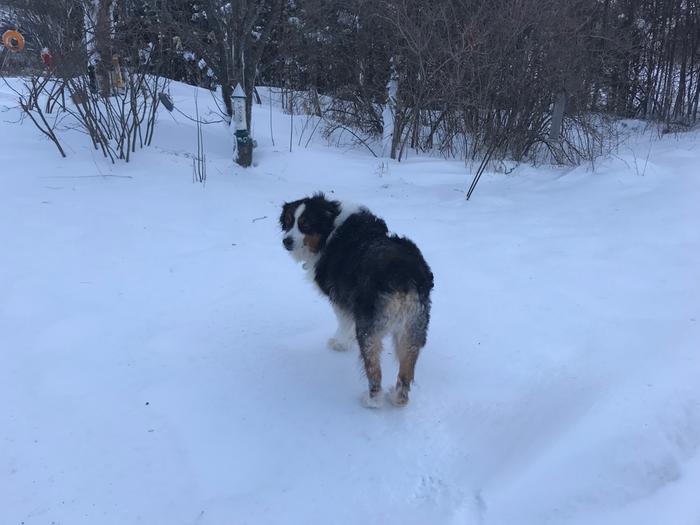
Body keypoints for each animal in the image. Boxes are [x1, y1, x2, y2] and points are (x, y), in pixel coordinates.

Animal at [278, 192, 432, 406]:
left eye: (305, 224)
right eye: (288, 222)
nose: (286, 241)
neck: (331, 228)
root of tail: (403, 276)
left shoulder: (340, 297)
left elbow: (343, 322)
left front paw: (340, 343)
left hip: (369, 330)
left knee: (374, 371)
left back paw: (372, 401)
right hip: (413, 328)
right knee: (405, 374)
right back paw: (397, 398)